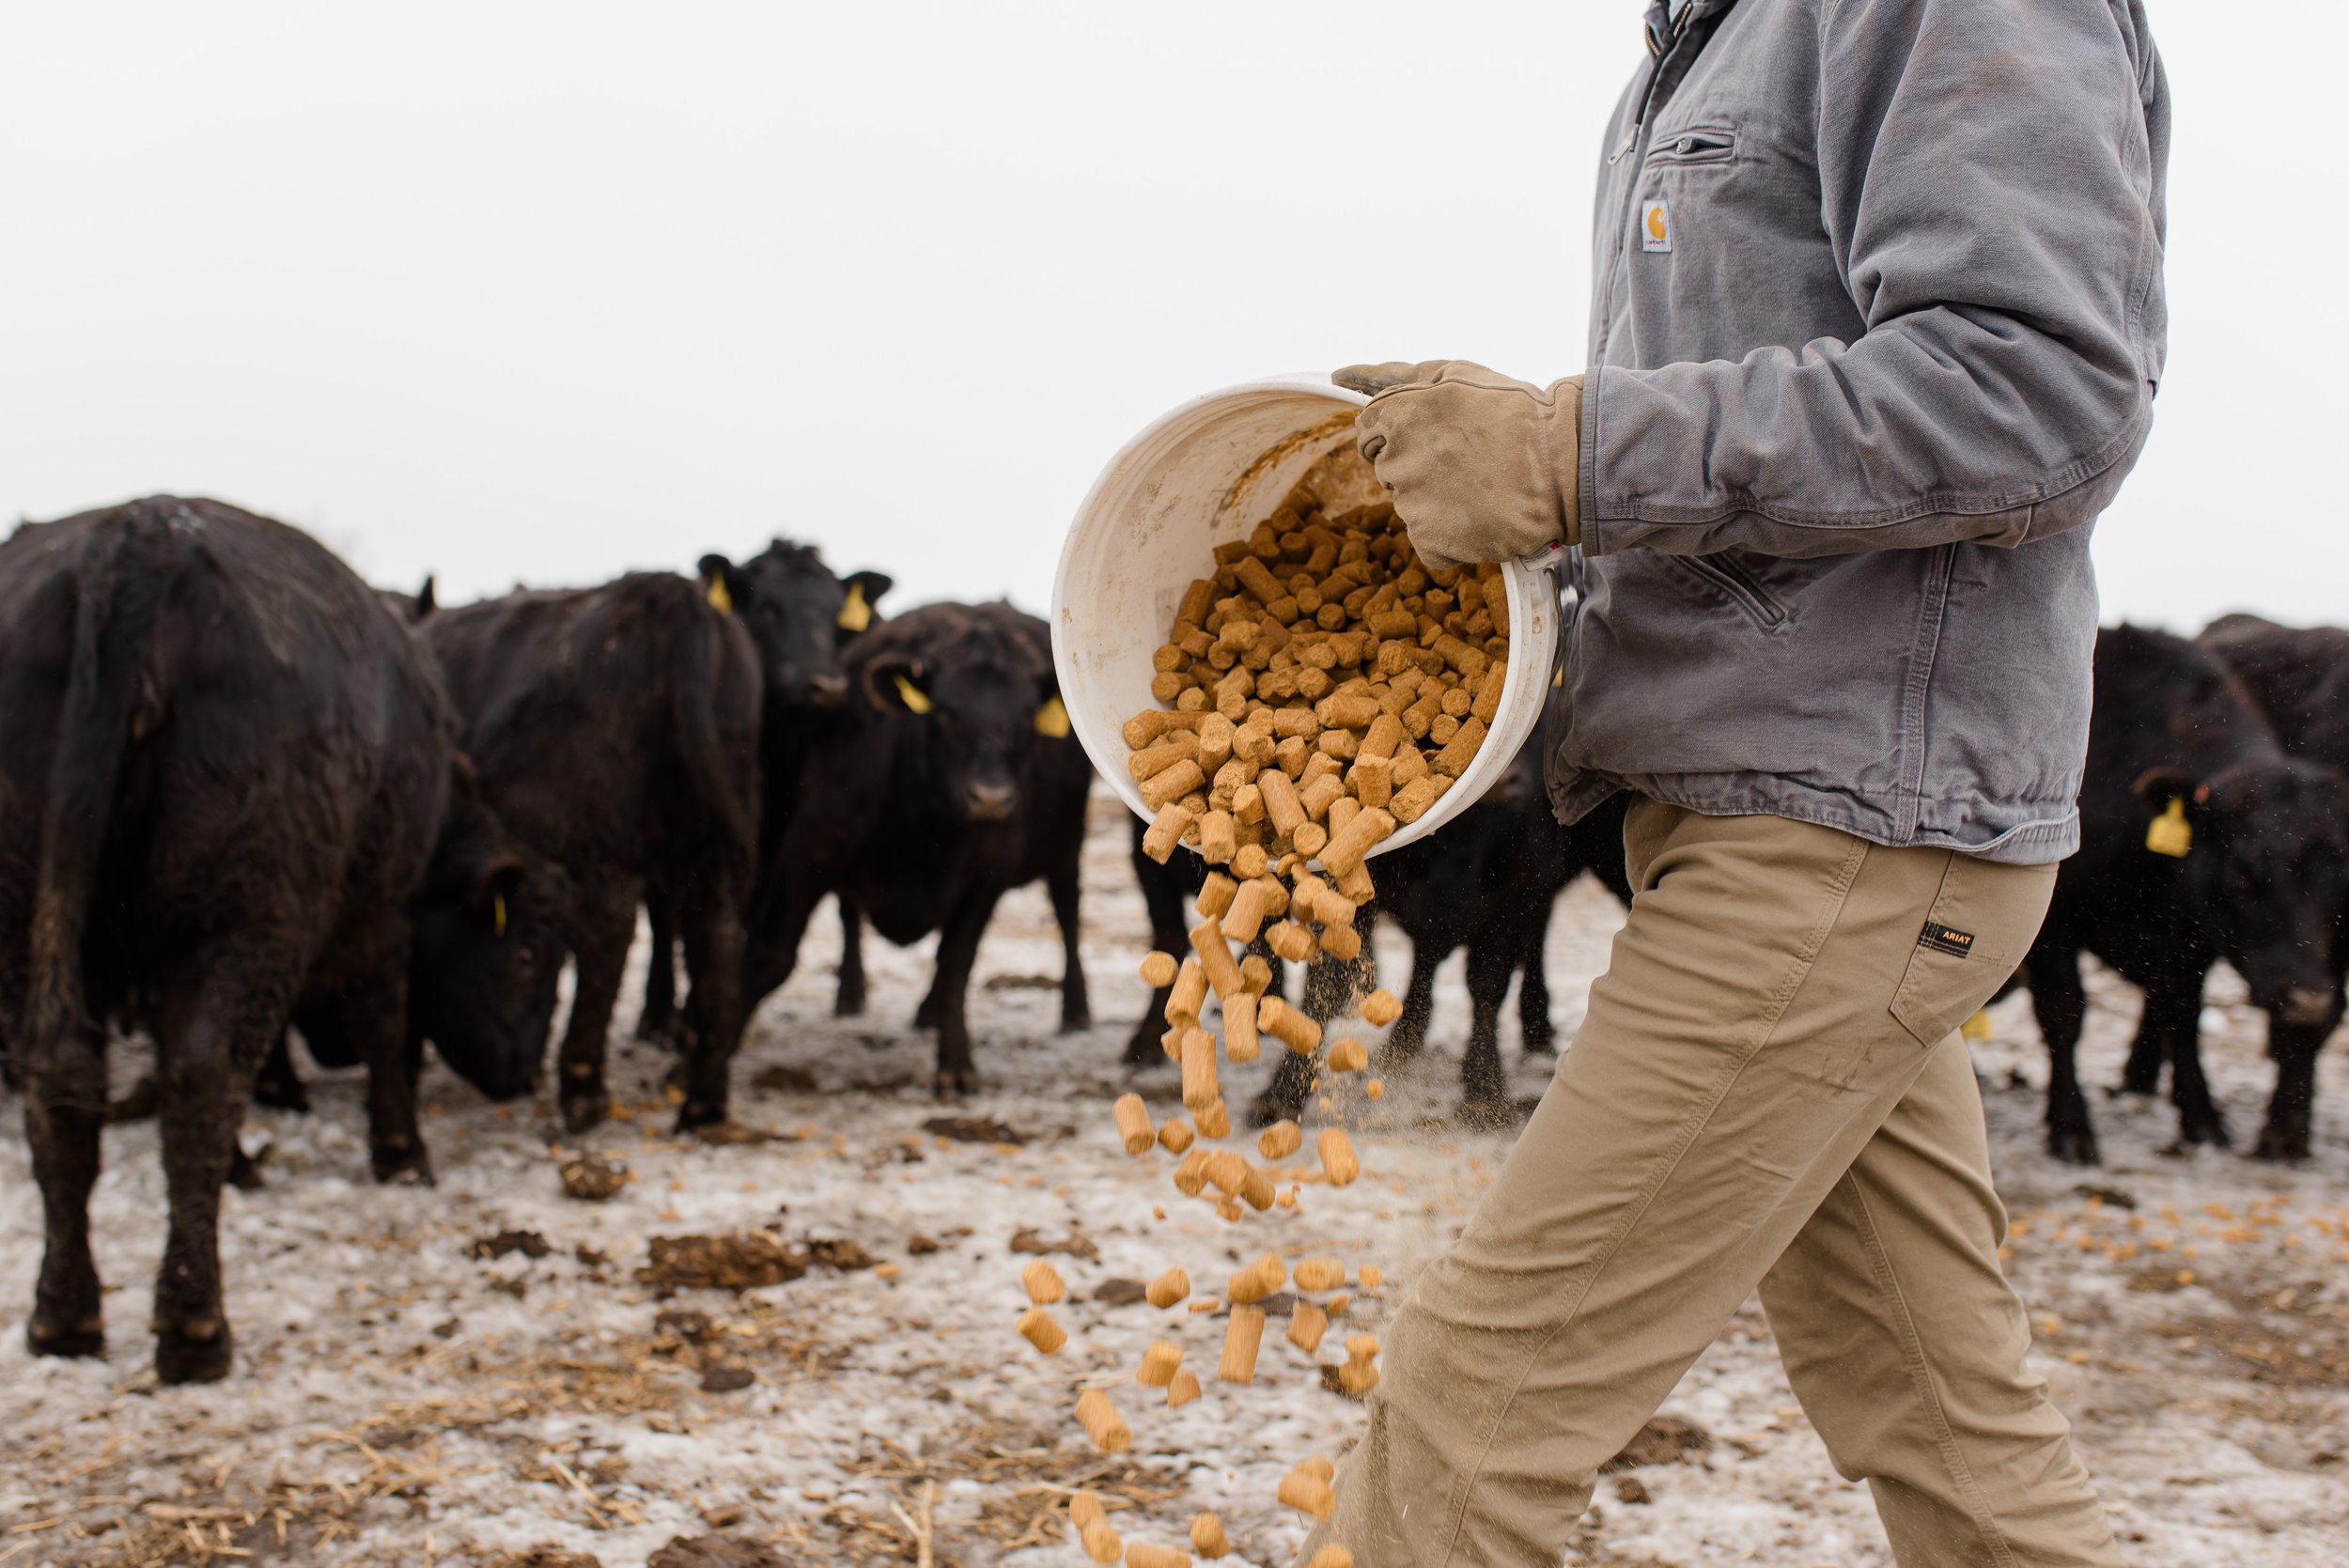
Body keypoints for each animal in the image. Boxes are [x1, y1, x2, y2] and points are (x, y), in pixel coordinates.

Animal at [0, 495, 545, 1380]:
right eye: (527, 954)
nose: (525, 1074)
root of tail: (144, 533)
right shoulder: (380, 913)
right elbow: (383, 1022)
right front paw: (401, 1151)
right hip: (248, 908)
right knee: (201, 1078)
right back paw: (194, 1323)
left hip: (31, 912)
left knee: (64, 1080)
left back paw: (64, 1315)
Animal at [418, 570, 756, 1131]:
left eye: (526, 957)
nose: (517, 1076)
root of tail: (663, 590)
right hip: (709, 842)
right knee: (718, 933)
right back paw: (704, 1101)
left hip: (599, 839)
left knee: (608, 931)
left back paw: (583, 1087)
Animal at [634, 539, 888, 1042]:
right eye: (767, 607)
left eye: (836, 614)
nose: (828, 685)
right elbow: (670, 915)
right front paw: (663, 1015)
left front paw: (700, 1016)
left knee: (848, 907)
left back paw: (851, 994)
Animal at [738, 600, 1085, 1089]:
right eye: (943, 711)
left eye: (1025, 716)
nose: (991, 797)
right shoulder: (804, 854)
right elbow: (770, 957)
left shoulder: (989, 873)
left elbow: (957, 962)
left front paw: (955, 1065)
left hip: (1065, 848)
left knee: (1067, 912)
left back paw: (1074, 1009)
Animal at [2020, 629, 2349, 1164]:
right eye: (2245, 869)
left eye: (2341, 879)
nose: (2307, 999)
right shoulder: (2051, 924)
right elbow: (2064, 1013)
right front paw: (2071, 1127)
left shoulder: (2189, 940)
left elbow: (2182, 1015)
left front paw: (2202, 1120)